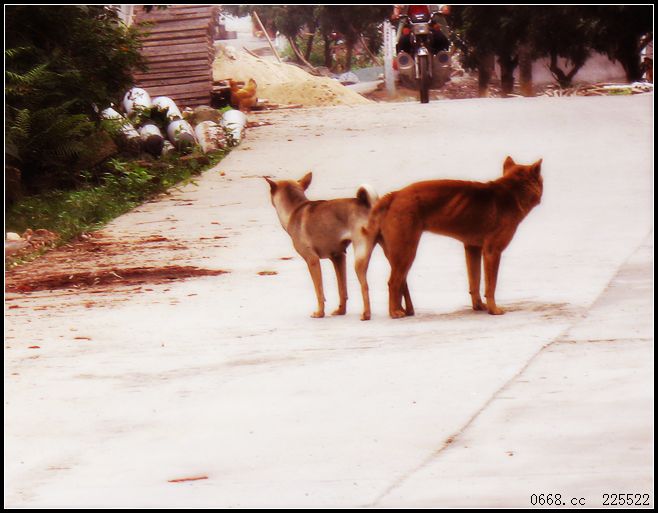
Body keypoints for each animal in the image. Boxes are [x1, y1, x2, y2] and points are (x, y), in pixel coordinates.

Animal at [265, 172, 379, 320]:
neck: (295, 209)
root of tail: (365, 203)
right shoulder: (338, 257)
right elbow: (342, 289)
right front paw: (341, 310)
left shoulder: (312, 261)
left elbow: (319, 291)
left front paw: (320, 313)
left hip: (360, 257)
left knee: (364, 286)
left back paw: (366, 314)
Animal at [365, 156, 543, 318]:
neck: (512, 192)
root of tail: (394, 195)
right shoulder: (493, 251)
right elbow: (490, 286)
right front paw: (493, 309)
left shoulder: (473, 248)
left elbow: (475, 282)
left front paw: (479, 306)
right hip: (406, 252)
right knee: (393, 283)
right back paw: (394, 312)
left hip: (399, 253)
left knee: (400, 283)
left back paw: (402, 310)